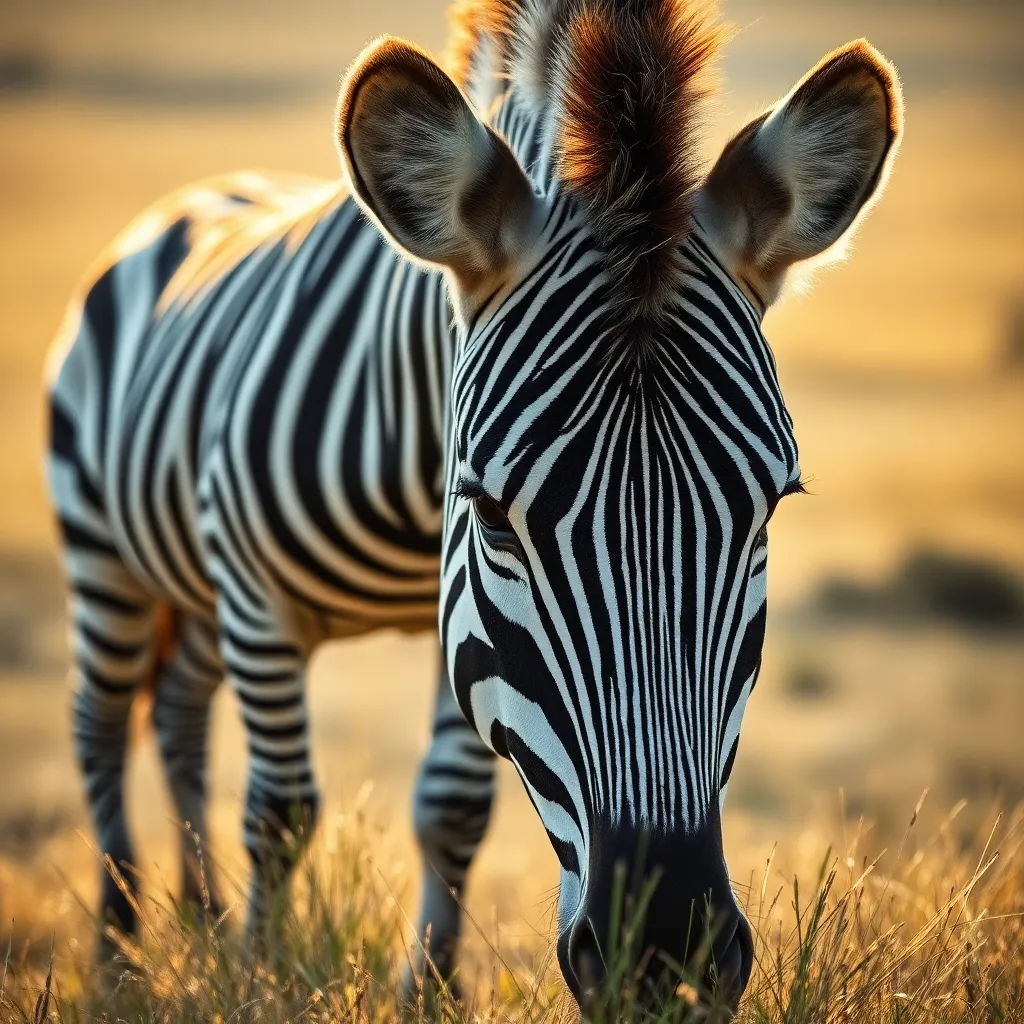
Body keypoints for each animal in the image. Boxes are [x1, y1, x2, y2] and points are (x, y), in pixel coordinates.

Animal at [45, 0, 902, 1012]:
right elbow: (281, 813)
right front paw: (261, 983)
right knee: (101, 726)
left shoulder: (452, 621)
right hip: (106, 557)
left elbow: (452, 806)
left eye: (765, 515)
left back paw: (205, 922)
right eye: (493, 515)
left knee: (177, 711)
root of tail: (202, 195)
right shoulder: (263, 597)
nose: (662, 962)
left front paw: (428, 989)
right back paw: (119, 951)